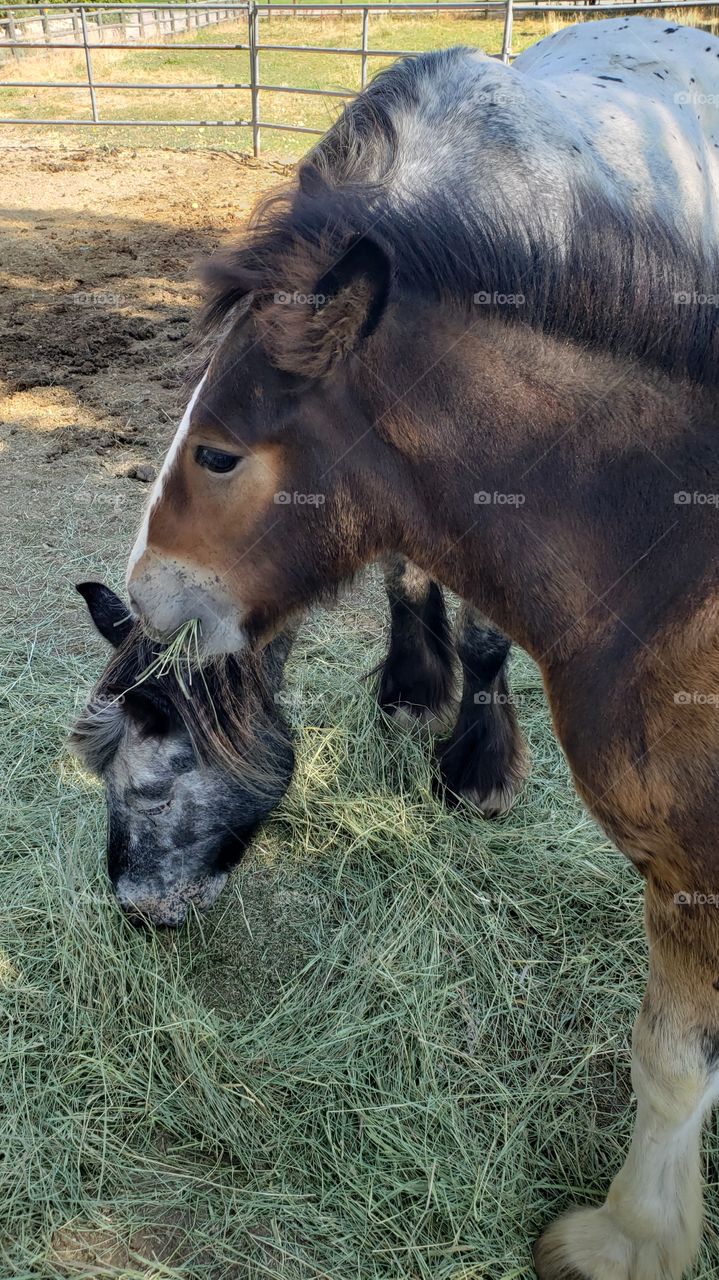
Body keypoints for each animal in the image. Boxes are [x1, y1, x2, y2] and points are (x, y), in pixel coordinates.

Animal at [124, 17, 719, 1277]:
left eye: (217, 453)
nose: (149, 592)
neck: (668, 557)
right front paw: (414, 689)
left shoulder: (692, 867)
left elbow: (665, 1060)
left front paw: (625, 1237)